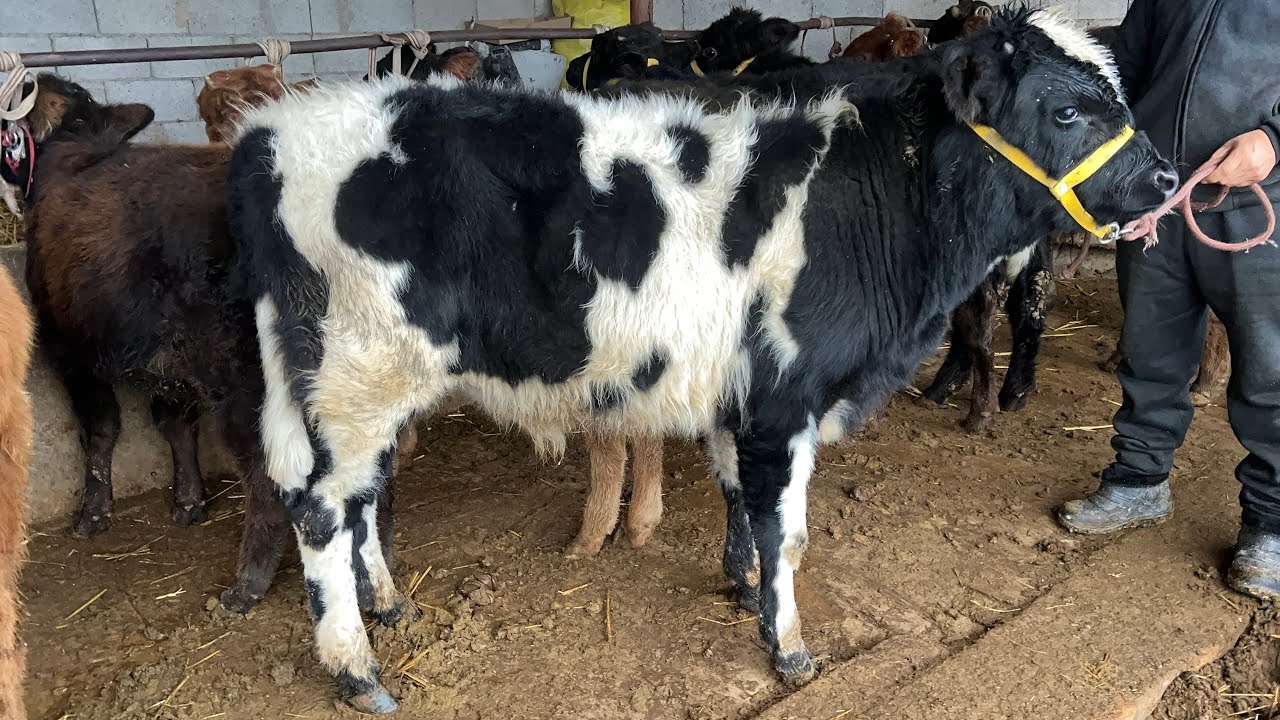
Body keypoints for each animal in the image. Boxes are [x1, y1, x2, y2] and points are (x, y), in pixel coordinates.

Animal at [227, 8, 1175, 711]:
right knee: (320, 511)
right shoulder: (788, 395)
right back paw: (356, 670)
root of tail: (270, 133)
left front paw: (744, 588)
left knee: (360, 499)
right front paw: (788, 648)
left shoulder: (740, 387)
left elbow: (738, 497)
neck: (874, 184)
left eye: (1118, 92)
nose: (1167, 181)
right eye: (1066, 110)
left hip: (351, 393)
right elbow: (787, 529)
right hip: (356, 377)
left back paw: (390, 603)